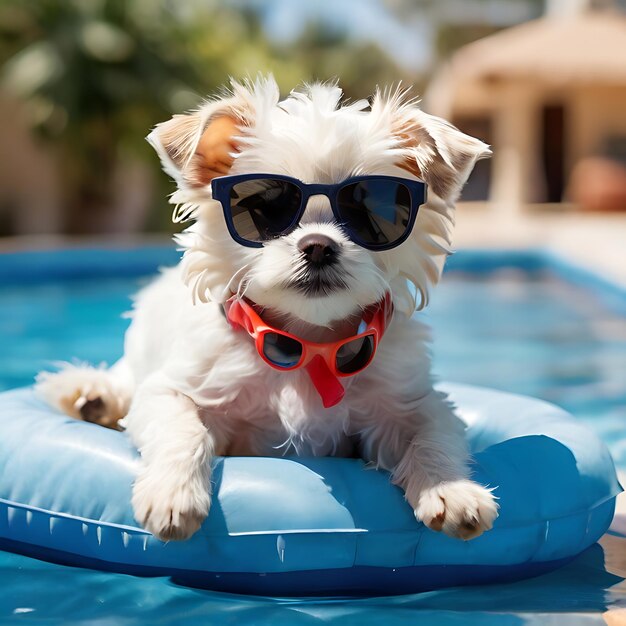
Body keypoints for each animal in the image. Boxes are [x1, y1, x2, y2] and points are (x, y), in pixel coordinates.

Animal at [37, 74, 498, 540]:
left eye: (369, 209)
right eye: (264, 207)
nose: (318, 246)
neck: (306, 343)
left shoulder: (412, 403)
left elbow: (432, 435)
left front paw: (450, 489)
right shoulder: (171, 390)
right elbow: (183, 428)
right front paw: (173, 494)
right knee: (123, 379)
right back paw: (92, 395)